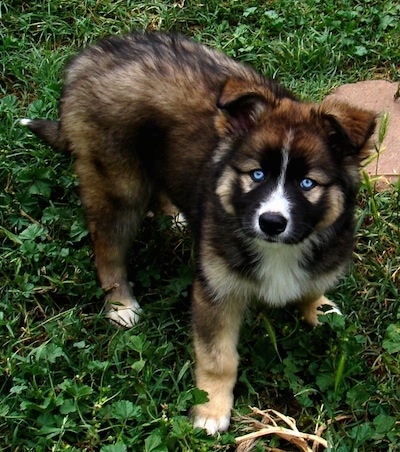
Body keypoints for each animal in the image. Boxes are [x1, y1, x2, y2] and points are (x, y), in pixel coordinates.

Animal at [23, 31, 376, 434]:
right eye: (257, 174)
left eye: (307, 184)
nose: (271, 222)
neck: (278, 250)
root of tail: (87, 59)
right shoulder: (216, 291)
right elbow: (218, 358)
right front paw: (211, 410)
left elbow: (312, 286)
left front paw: (319, 308)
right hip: (118, 181)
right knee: (107, 246)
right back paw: (120, 304)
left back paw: (175, 216)